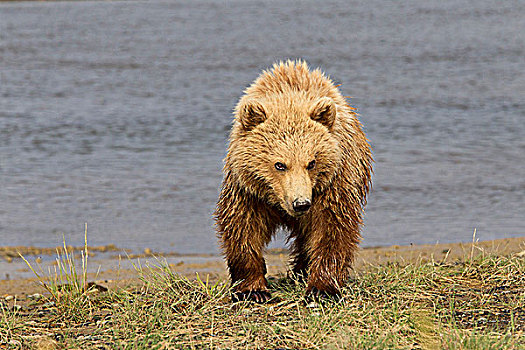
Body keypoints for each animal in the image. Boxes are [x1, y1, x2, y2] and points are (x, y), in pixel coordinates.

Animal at [214, 59, 372, 300]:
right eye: (280, 164)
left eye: (312, 163)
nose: (301, 204)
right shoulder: (248, 188)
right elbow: (243, 225)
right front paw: (252, 289)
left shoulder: (332, 184)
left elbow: (332, 227)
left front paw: (321, 289)